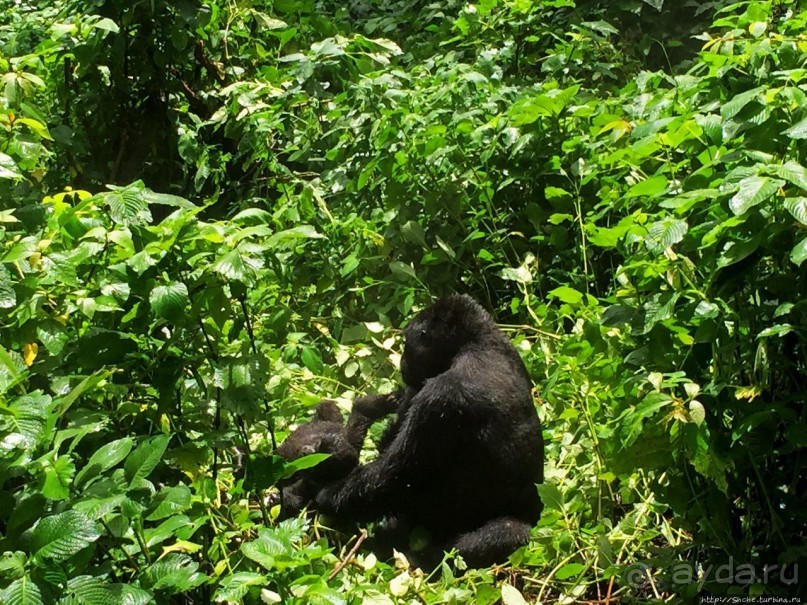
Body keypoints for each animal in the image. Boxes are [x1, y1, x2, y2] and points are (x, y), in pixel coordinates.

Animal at [316, 294, 544, 568]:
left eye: (408, 343)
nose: (402, 362)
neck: (474, 344)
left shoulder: (440, 397)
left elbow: (395, 475)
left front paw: (326, 495)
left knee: (501, 534)